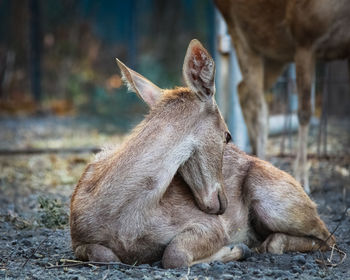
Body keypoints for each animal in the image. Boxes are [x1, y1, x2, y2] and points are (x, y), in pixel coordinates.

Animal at [69, 38, 334, 266]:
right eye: (228, 135)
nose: (224, 202)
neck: (123, 218)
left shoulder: (210, 225)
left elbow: (174, 254)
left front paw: (236, 248)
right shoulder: (78, 239)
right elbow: (105, 255)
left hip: (275, 201)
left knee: (327, 236)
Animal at [215, 0, 350, 192]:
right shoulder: (304, 38)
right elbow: (304, 112)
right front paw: (302, 178)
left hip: (275, 51)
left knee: (243, 89)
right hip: (241, 33)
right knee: (259, 106)